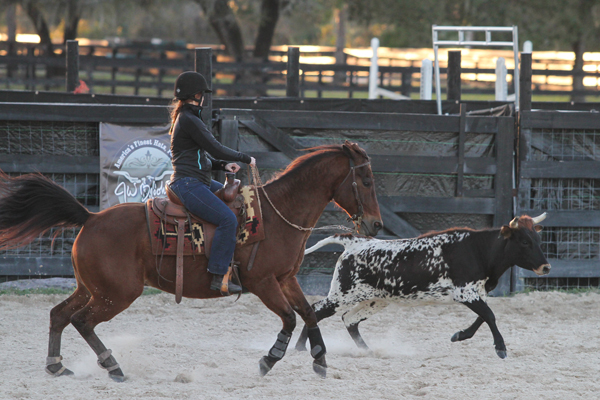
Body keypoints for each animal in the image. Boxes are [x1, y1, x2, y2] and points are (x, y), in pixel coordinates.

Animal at [0, 141, 382, 382]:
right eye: (365, 180)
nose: (376, 225)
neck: (275, 216)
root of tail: (90, 218)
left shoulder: (286, 279)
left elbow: (307, 313)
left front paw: (320, 358)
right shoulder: (262, 283)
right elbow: (289, 317)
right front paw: (268, 360)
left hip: (92, 288)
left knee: (59, 314)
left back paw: (56, 366)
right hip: (117, 293)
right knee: (82, 321)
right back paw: (113, 366)